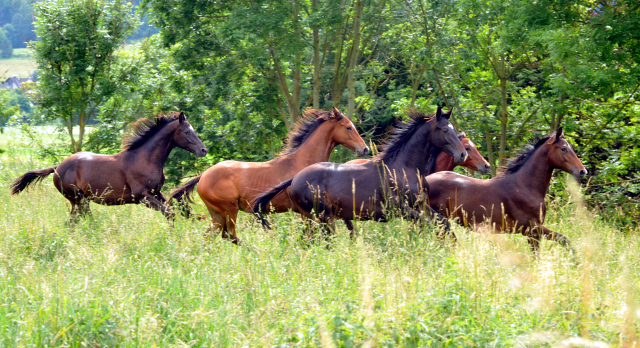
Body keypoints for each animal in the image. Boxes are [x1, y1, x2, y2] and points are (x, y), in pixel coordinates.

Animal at [11, 111, 206, 220]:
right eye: (187, 132)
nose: (203, 150)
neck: (145, 159)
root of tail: (58, 167)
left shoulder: (156, 192)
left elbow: (175, 209)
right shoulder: (142, 196)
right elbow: (169, 213)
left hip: (79, 201)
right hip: (79, 200)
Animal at [170, 106, 370, 245]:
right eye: (348, 127)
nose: (365, 149)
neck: (300, 162)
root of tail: (204, 175)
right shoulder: (306, 211)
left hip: (217, 214)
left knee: (210, 236)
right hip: (229, 210)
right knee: (229, 235)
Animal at [252, 107, 468, 241]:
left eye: (452, 129)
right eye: (443, 130)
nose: (462, 154)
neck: (402, 168)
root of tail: (295, 178)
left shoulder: (421, 205)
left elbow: (443, 223)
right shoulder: (400, 209)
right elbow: (430, 224)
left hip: (313, 219)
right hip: (323, 217)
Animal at [422, 127, 588, 253]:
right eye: (564, 149)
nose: (582, 171)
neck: (524, 185)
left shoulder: (533, 234)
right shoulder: (531, 228)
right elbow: (564, 240)